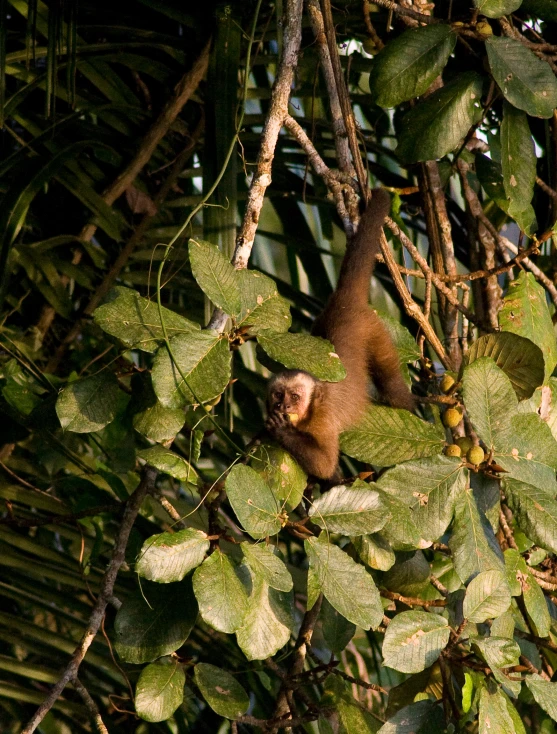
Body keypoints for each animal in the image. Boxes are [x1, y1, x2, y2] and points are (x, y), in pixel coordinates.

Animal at [264, 187, 412, 480]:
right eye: (278, 395)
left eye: (295, 397)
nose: (283, 407)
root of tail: (341, 302)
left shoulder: (322, 418)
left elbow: (324, 463)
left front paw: (280, 429)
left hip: (374, 329)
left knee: (392, 387)